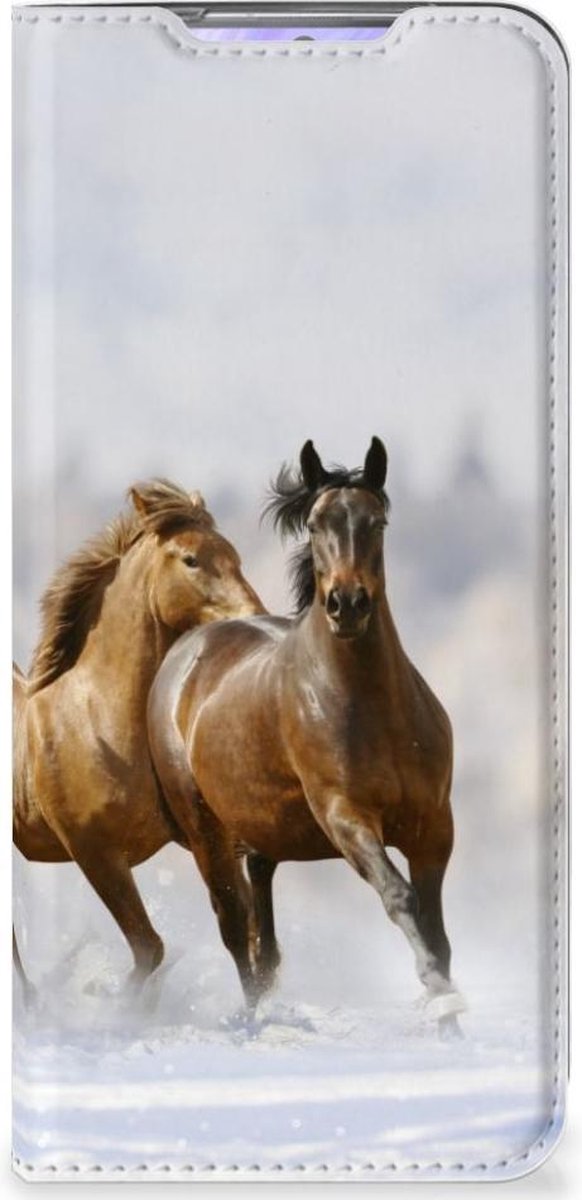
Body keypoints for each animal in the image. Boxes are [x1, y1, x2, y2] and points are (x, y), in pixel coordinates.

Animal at [13, 479, 264, 996]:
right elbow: (150, 948)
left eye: (234, 555)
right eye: (190, 559)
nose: (255, 616)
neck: (97, 721)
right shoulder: (95, 854)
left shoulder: (205, 838)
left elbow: (241, 927)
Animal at [147, 439, 465, 1035]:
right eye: (316, 525)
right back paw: (253, 1021)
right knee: (234, 926)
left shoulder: (433, 825)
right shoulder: (345, 817)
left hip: (262, 833)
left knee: (262, 932)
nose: (347, 604)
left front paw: (451, 1020)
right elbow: (400, 897)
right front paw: (439, 998)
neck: (373, 709)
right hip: (206, 832)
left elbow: (437, 928)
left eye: (376, 521)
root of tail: (185, 652)